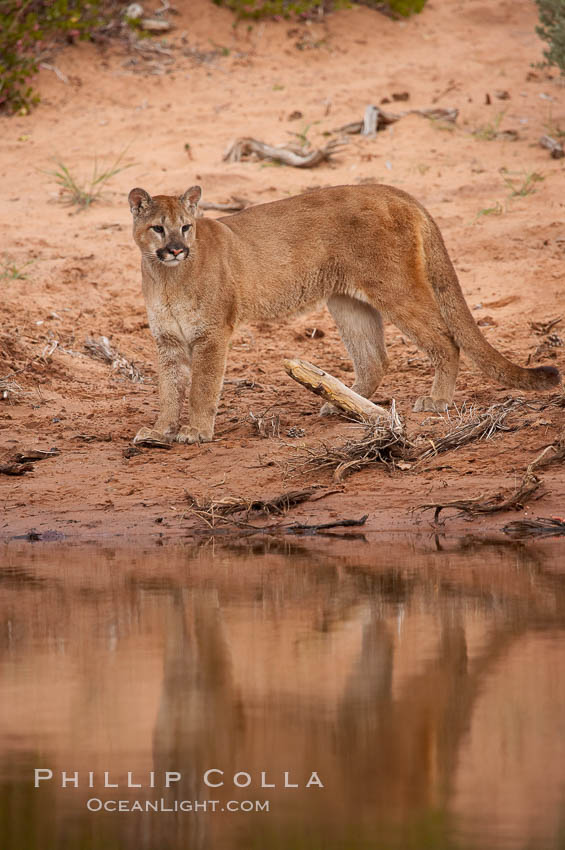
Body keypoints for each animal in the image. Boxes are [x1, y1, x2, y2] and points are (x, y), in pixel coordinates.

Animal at [126, 181, 556, 444]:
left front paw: (195, 431)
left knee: (445, 340)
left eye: (186, 226)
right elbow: (169, 389)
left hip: (394, 288)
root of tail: (394, 191)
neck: (168, 277)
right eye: (158, 229)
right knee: (374, 358)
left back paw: (436, 401)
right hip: (348, 301)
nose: (177, 249)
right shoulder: (167, 341)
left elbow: (201, 387)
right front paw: (159, 431)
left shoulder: (213, 334)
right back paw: (342, 404)